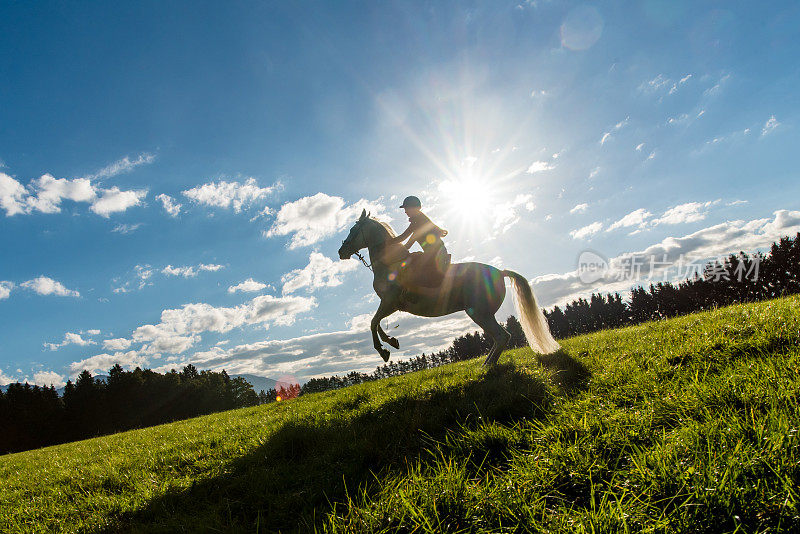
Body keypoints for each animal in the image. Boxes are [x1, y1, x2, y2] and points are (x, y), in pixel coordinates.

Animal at [338, 211, 564, 366]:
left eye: (353, 230)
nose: (341, 251)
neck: (390, 263)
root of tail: (500, 272)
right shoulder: (391, 305)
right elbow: (376, 323)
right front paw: (392, 342)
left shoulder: (390, 301)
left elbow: (372, 322)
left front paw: (383, 350)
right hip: (481, 313)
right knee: (498, 337)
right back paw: (485, 365)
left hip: (479, 312)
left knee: (502, 337)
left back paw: (487, 367)